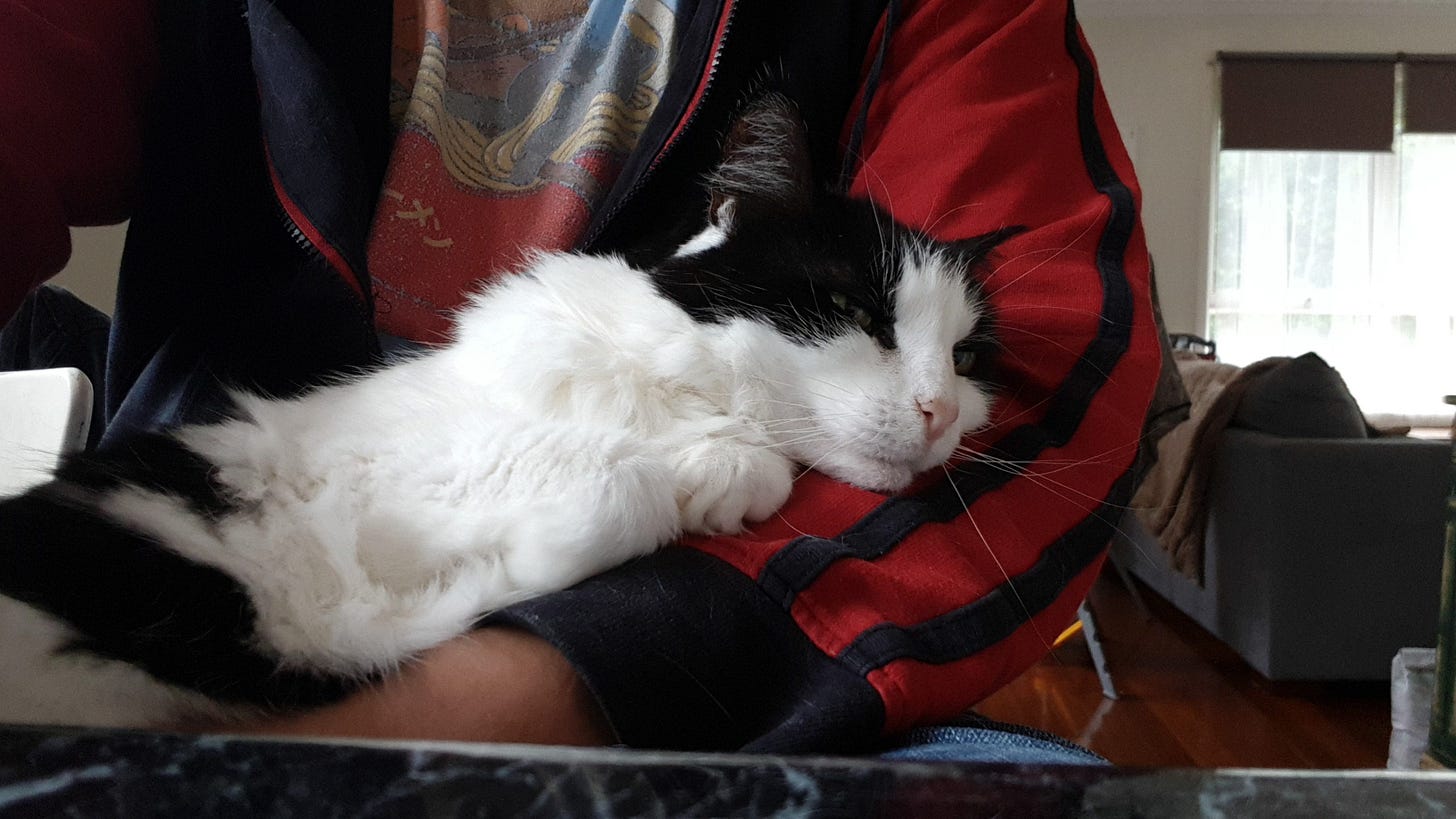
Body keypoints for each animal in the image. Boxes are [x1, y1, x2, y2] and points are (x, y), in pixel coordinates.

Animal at [0, 95, 1013, 725]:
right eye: (852, 311)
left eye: (964, 360)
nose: (939, 411)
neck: (678, 389)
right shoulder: (389, 483)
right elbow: (614, 480)